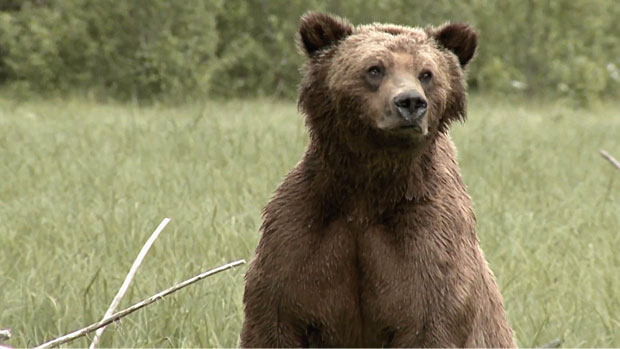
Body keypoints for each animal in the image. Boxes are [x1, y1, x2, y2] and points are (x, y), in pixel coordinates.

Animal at [240, 12, 516, 346]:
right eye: (374, 68)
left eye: (426, 73)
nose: (410, 102)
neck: (369, 187)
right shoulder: (300, 233)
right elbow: (275, 318)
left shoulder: (428, 243)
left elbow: (429, 318)